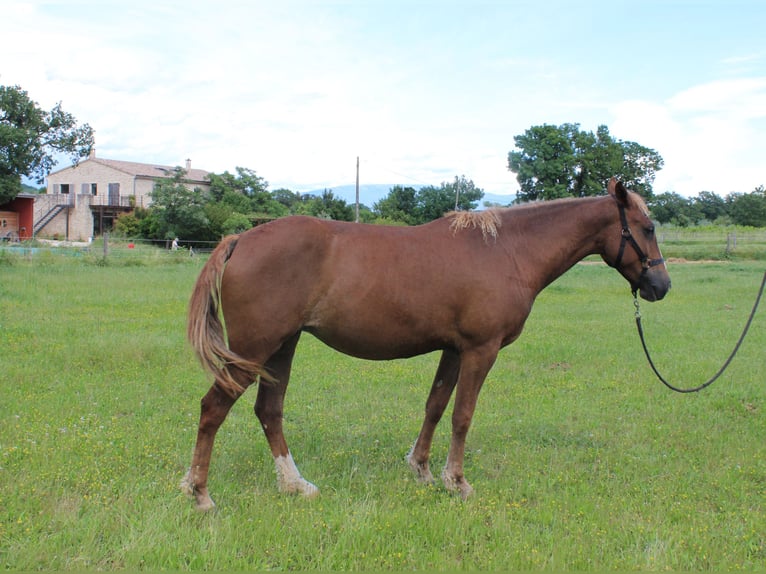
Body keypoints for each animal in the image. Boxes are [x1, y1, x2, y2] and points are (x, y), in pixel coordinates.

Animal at [182, 178, 672, 510]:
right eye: (647, 228)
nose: (661, 286)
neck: (507, 250)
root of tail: (241, 238)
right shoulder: (480, 349)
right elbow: (462, 415)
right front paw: (457, 481)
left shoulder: (454, 349)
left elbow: (435, 406)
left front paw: (420, 468)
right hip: (254, 350)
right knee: (213, 408)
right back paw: (200, 492)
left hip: (281, 347)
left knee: (269, 411)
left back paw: (294, 484)